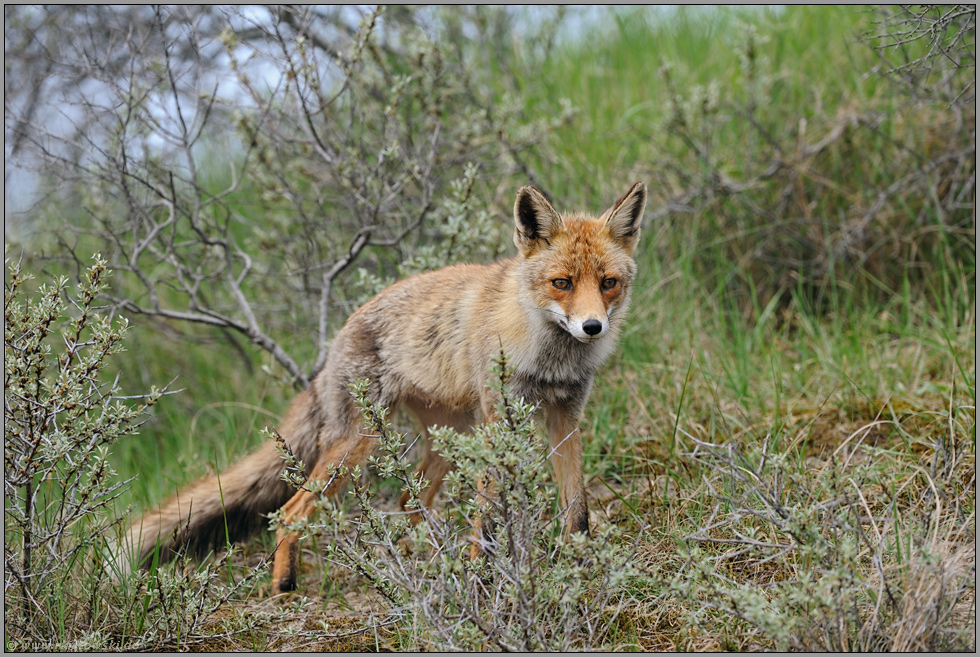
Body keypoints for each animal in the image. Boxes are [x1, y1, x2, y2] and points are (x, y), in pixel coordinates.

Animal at [117, 181, 652, 596]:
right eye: (562, 282)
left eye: (608, 282)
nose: (592, 327)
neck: (549, 357)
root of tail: (336, 339)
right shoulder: (499, 422)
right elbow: (488, 517)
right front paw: (482, 579)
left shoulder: (565, 416)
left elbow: (577, 511)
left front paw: (582, 570)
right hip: (361, 444)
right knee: (291, 510)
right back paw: (285, 584)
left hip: (449, 441)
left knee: (406, 505)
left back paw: (422, 563)